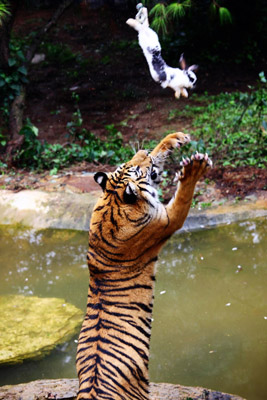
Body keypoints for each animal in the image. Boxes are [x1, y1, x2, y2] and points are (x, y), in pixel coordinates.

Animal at [76, 133, 213, 398]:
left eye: (129, 163)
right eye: (138, 169)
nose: (143, 152)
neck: (114, 200)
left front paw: (175, 139)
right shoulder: (168, 219)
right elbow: (184, 196)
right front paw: (193, 168)